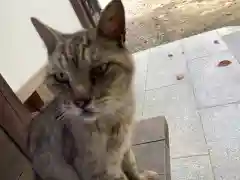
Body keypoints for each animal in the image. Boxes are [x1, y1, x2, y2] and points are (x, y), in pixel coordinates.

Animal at [31, 0, 160, 180]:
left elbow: (132, 167)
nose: (80, 102)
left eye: (99, 69)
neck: (114, 120)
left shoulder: (125, 149)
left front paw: (141, 176)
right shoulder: (102, 172)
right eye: (61, 76)